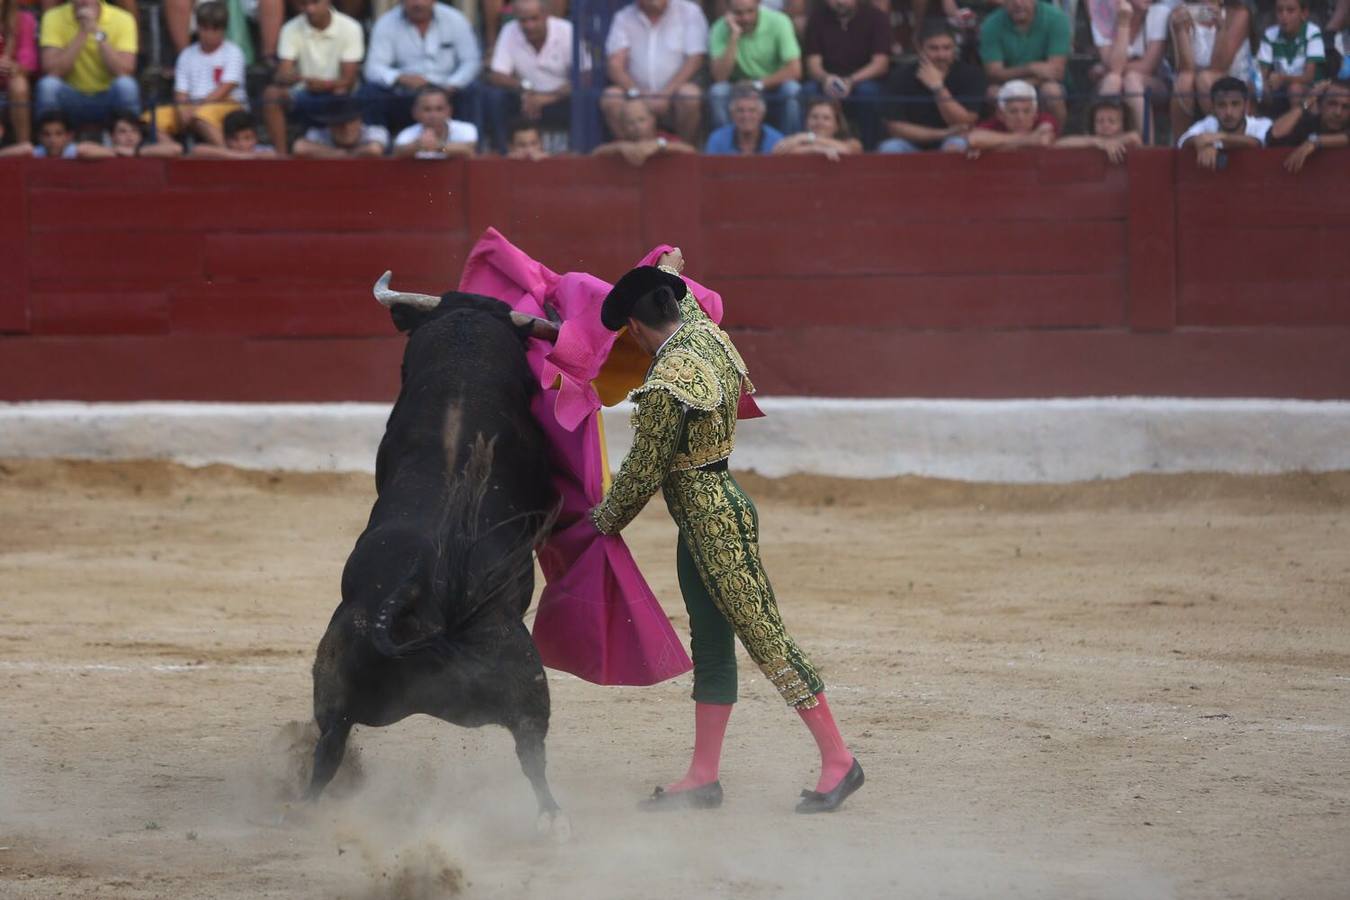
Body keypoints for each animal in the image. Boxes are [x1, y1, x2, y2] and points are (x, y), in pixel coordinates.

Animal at [307, 272, 569, 836]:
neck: (461, 368)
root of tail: (422, 596)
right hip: (525, 675)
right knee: (531, 748)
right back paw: (554, 817)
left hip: (334, 675)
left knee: (329, 745)